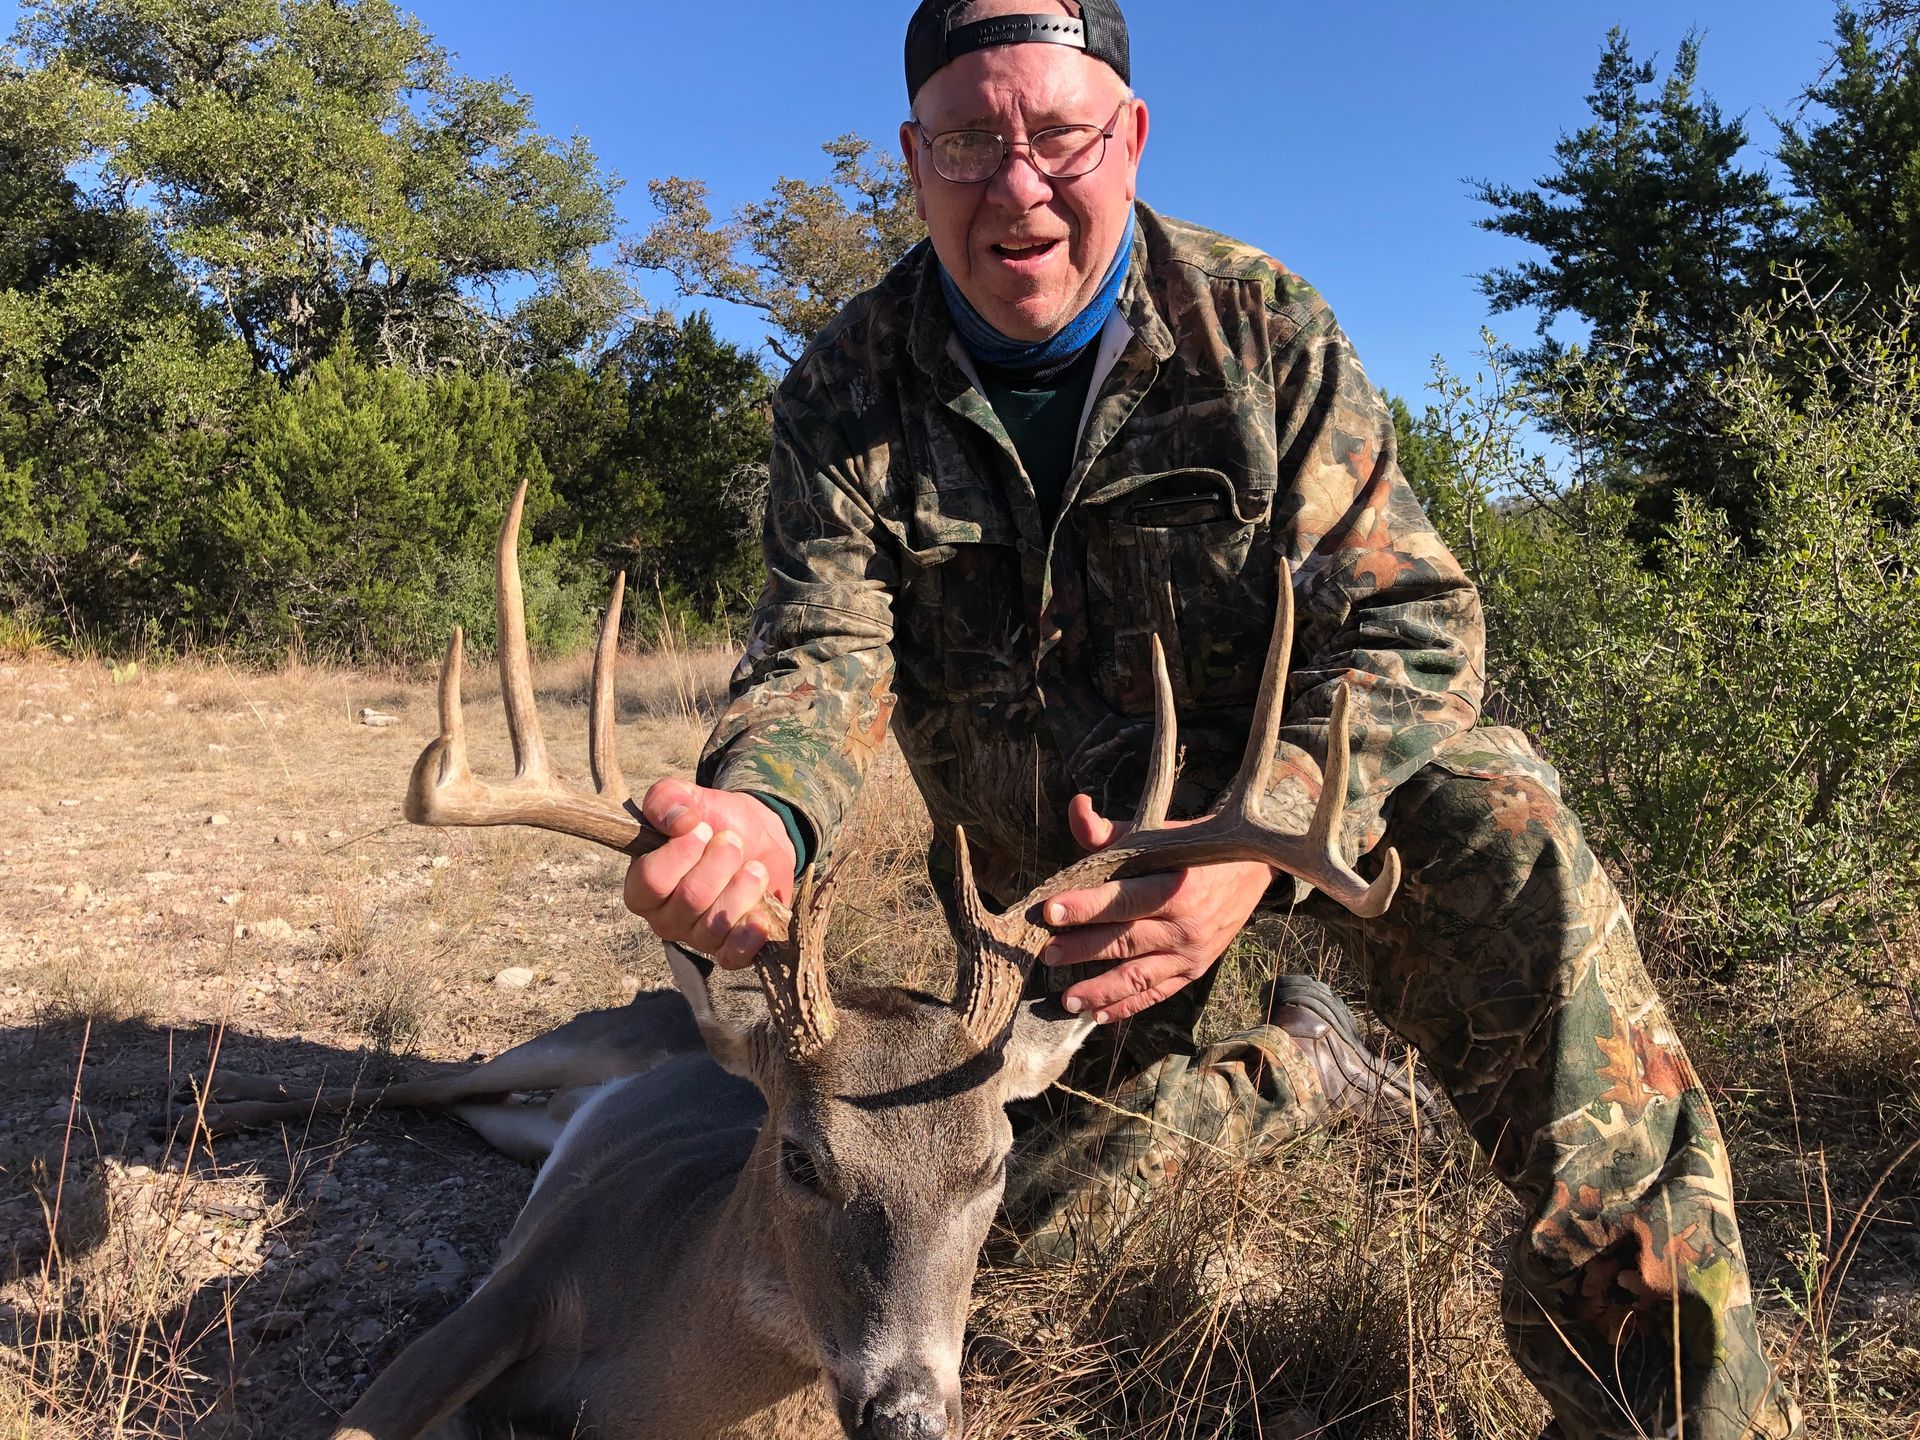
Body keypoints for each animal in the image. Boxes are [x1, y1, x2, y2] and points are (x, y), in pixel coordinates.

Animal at [183, 482, 1401, 1440]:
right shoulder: (512, 1290)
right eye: (801, 1159)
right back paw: (211, 1112)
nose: (907, 1415)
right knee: (422, 1079)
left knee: (470, 1107)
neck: (648, 1391)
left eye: (992, 1168)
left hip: (539, 1122)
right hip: (579, 1036)